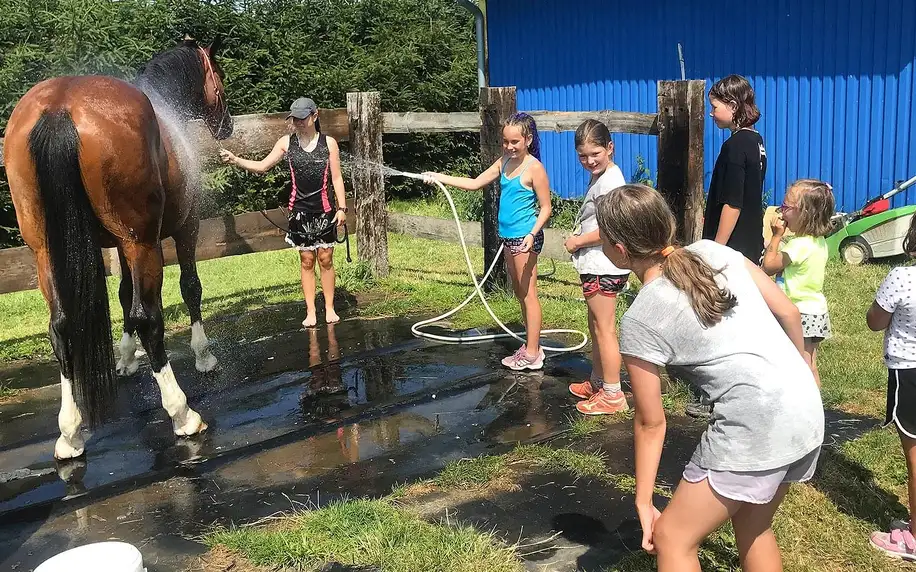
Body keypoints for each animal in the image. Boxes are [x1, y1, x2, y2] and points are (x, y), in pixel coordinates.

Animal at [4, 36, 233, 460]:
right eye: (218, 75)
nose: (226, 127)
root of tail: (60, 106)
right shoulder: (183, 229)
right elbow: (189, 289)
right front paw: (204, 355)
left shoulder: (116, 246)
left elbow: (125, 295)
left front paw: (125, 358)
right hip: (141, 243)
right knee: (149, 319)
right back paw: (182, 414)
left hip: (47, 252)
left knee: (61, 327)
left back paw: (70, 434)